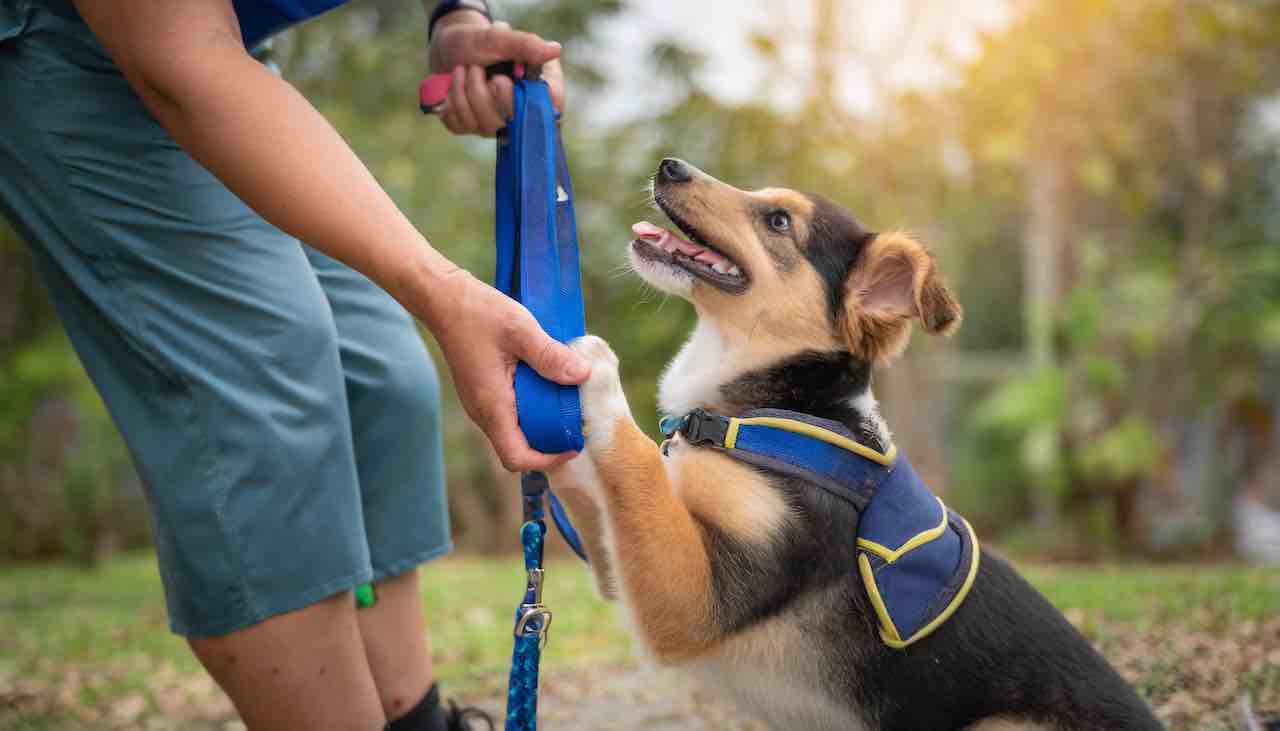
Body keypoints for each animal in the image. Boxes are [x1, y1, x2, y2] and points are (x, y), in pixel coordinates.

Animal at [550, 157, 1162, 727]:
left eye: (778, 220)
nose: (670, 166)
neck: (775, 407)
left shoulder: (697, 602)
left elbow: (636, 462)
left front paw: (595, 369)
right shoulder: (624, 559)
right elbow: (606, 483)